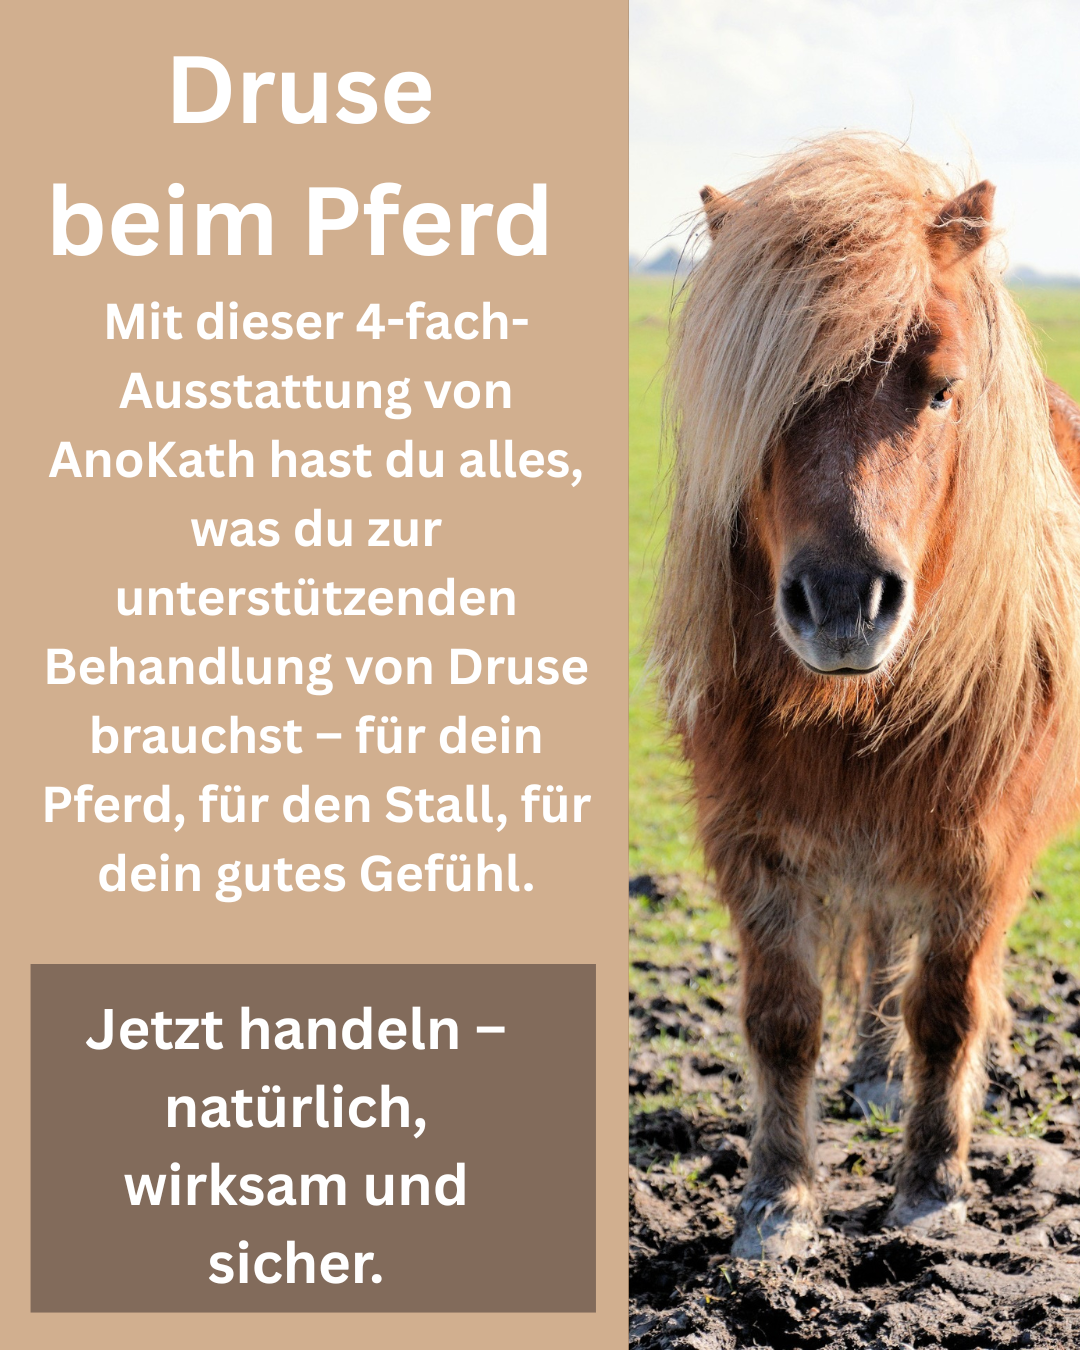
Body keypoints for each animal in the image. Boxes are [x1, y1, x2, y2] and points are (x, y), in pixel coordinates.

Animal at [652, 133, 1080, 1260]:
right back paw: (875, 1075)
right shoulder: (753, 838)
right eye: (762, 396)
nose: (845, 601)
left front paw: (931, 1189)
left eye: (939, 389)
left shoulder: (981, 844)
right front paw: (777, 1201)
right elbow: (781, 1017)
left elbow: (948, 1006)